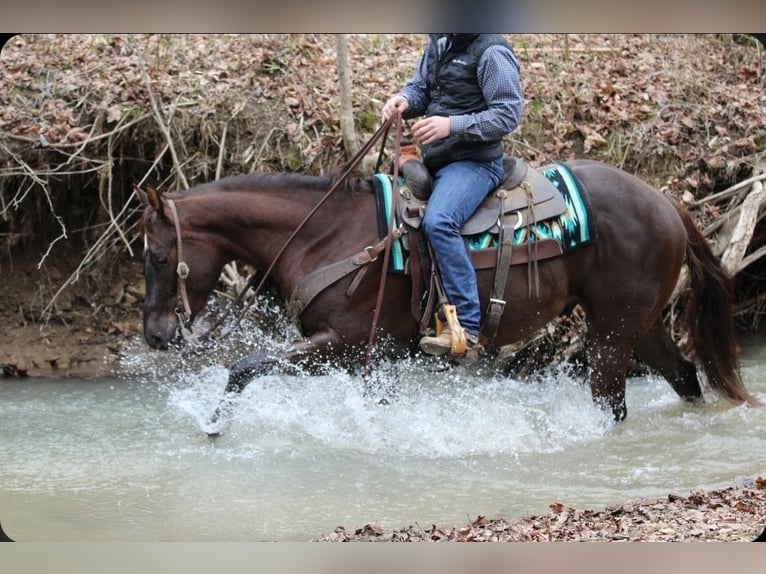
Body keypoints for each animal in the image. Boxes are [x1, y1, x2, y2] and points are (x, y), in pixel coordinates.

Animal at [137, 159, 759, 432]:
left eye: (158, 256)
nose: (155, 335)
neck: (328, 235)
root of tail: (664, 200)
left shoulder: (343, 344)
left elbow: (245, 366)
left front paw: (215, 427)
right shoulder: (377, 357)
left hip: (612, 329)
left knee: (612, 401)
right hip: (641, 323)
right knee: (683, 375)